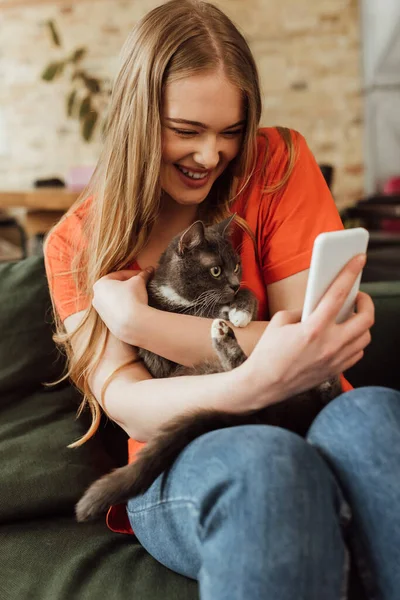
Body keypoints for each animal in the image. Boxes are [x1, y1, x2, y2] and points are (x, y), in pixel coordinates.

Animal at [76, 216, 340, 520]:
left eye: (236, 265)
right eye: (215, 270)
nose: (234, 285)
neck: (180, 297)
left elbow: (245, 296)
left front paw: (241, 309)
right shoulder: (164, 353)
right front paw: (228, 312)